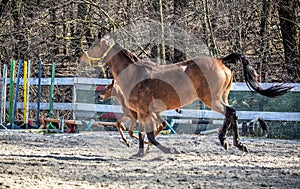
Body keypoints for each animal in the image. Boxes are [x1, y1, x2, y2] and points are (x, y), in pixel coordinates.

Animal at [79, 37, 292, 157]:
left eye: (94, 46)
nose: (81, 60)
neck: (134, 74)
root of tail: (221, 60)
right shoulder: (143, 112)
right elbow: (143, 134)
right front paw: (140, 153)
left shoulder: (144, 111)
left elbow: (149, 135)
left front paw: (166, 150)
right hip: (220, 98)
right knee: (231, 114)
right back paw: (230, 142)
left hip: (212, 99)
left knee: (231, 112)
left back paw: (231, 142)